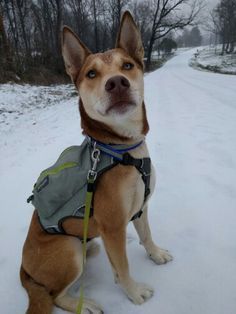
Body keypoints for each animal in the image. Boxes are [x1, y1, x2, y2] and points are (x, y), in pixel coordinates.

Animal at [20, 11, 172, 314]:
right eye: (91, 73)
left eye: (127, 66)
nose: (117, 83)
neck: (121, 149)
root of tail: (24, 270)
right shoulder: (113, 226)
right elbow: (123, 266)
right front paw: (134, 292)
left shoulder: (141, 208)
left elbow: (146, 236)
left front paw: (156, 254)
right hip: (69, 249)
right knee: (54, 295)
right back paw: (85, 305)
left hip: (87, 243)